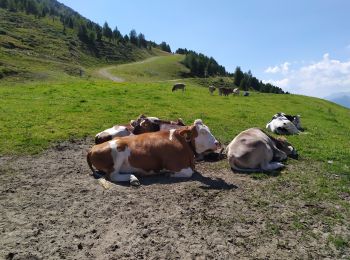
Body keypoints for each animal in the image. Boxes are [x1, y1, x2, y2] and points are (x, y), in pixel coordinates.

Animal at [87, 119, 219, 186]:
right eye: (203, 132)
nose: (217, 143)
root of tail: (92, 148)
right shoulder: (173, 164)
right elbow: (189, 172)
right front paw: (169, 174)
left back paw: (133, 178)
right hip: (118, 152)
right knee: (112, 176)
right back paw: (134, 177)